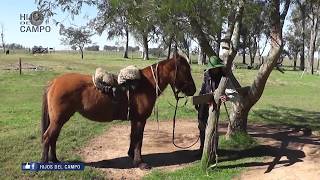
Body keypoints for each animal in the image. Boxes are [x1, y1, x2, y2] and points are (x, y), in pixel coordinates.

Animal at [41, 53, 196, 169]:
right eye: (185, 70)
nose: (193, 90)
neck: (146, 85)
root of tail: (54, 82)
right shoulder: (140, 120)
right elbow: (139, 139)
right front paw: (140, 162)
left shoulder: (135, 120)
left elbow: (133, 137)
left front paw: (132, 156)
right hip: (59, 120)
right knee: (47, 137)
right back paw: (44, 162)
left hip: (59, 120)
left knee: (53, 138)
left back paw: (54, 160)